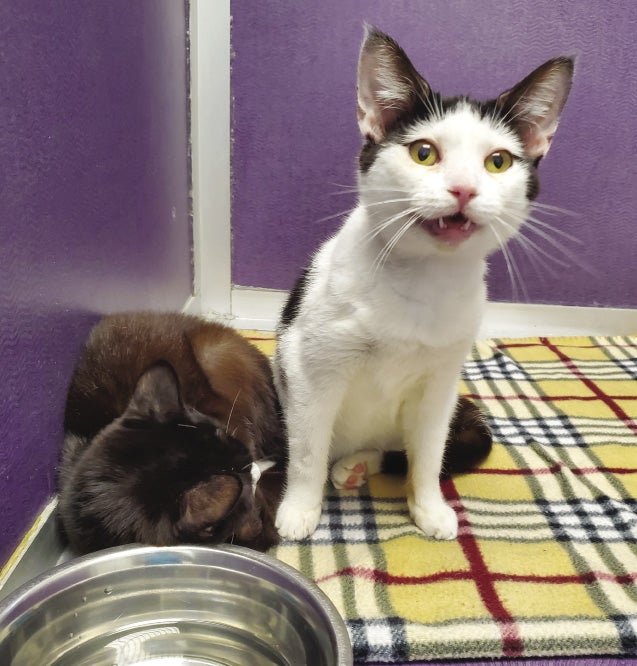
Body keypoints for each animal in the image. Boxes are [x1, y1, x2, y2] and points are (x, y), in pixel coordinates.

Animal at [272, 28, 572, 540]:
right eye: (423, 153)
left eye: (498, 162)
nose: (464, 189)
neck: (422, 280)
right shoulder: (310, 368)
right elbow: (307, 449)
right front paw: (300, 509)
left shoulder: (441, 383)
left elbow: (430, 452)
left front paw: (428, 506)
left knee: (400, 445)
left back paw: (358, 463)